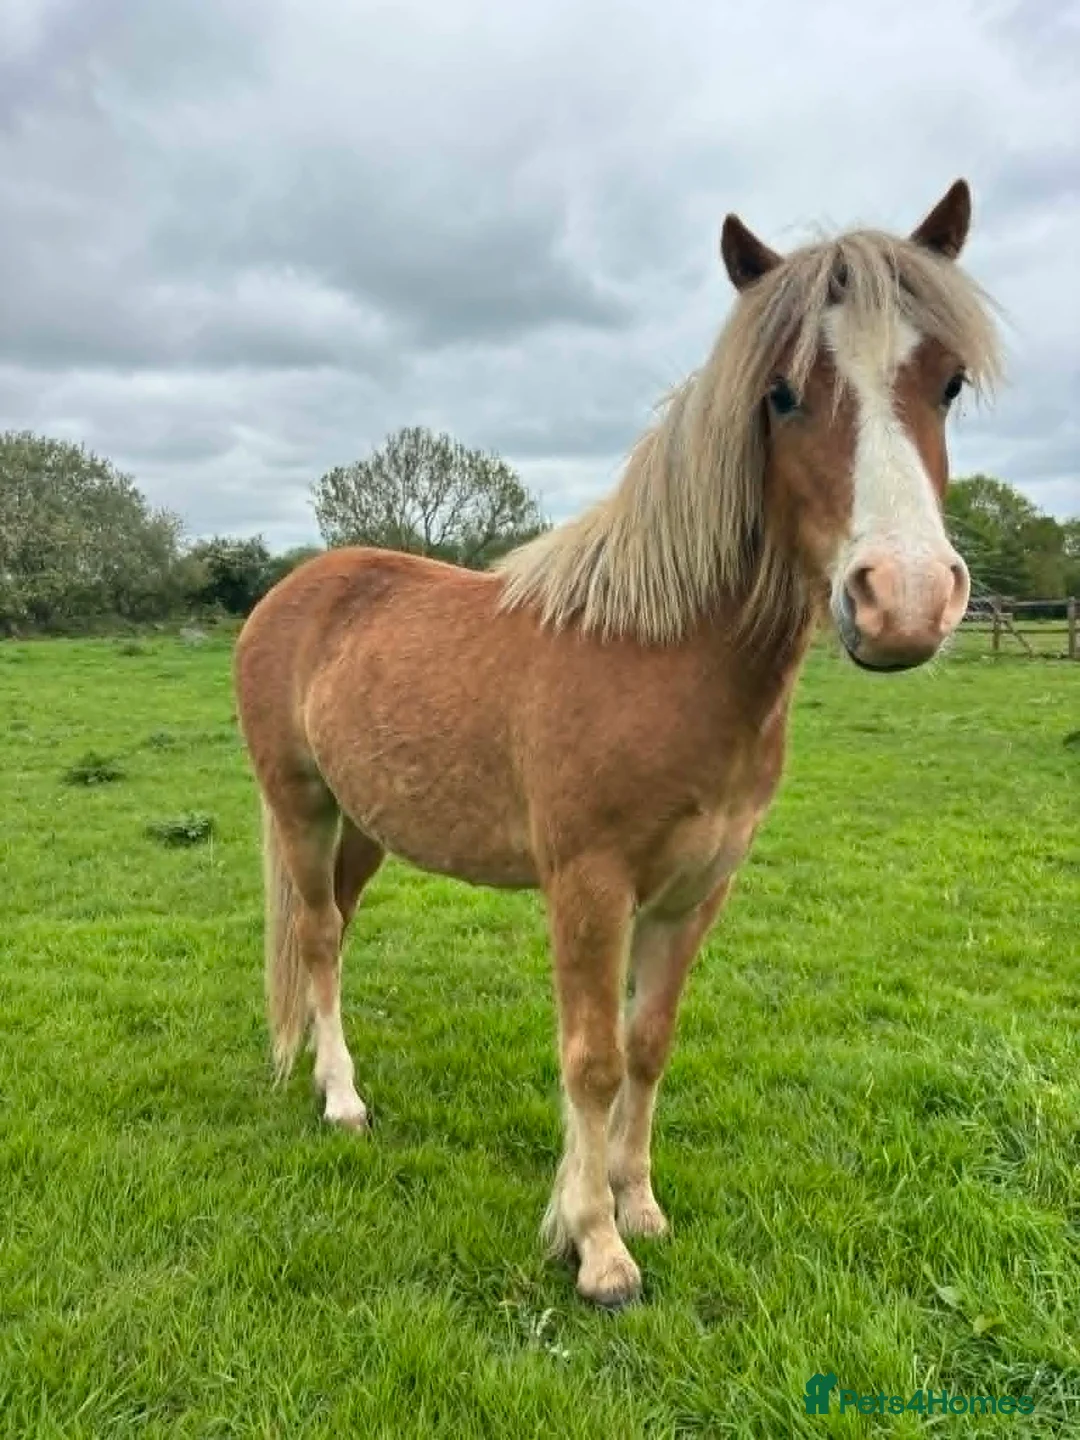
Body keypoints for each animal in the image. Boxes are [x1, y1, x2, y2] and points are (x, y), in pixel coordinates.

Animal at [234, 180, 1001, 1308]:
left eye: (945, 383)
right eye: (781, 395)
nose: (901, 601)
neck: (661, 654)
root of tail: (295, 589)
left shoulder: (694, 893)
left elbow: (646, 1044)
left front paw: (638, 1205)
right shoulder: (590, 885)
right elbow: (589, 1058)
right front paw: (595, 1248)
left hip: (365, 823)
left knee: (333, 928)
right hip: (299, 804)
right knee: (320, 935)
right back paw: (342, 1101)